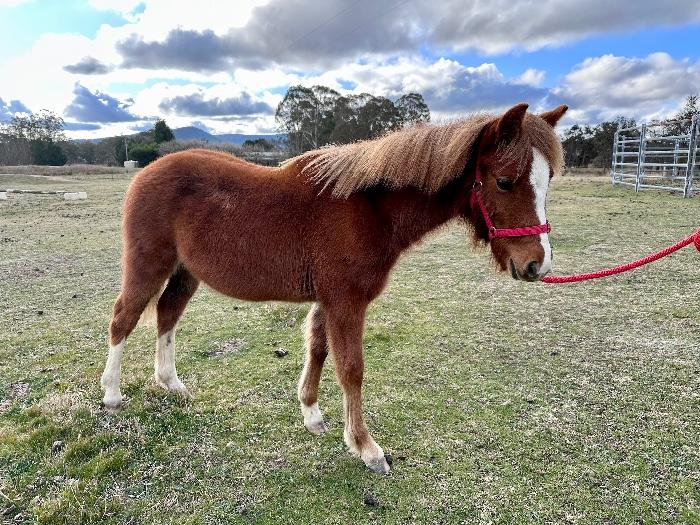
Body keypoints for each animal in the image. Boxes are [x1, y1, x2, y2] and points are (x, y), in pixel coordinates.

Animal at [101, 102, 568, 474]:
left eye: (548, 180)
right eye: (505, 181)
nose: (537, 263)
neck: (369, 208)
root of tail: (146, 172)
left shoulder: (330, 300)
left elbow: (319, 349)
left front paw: (312, 414)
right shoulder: (347, 302)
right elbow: (351, 369)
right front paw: (365, 447)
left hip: (185, 273)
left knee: (166, 314)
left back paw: (172, 384)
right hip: (148, 265)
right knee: (124, 318)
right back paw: (112, 394)